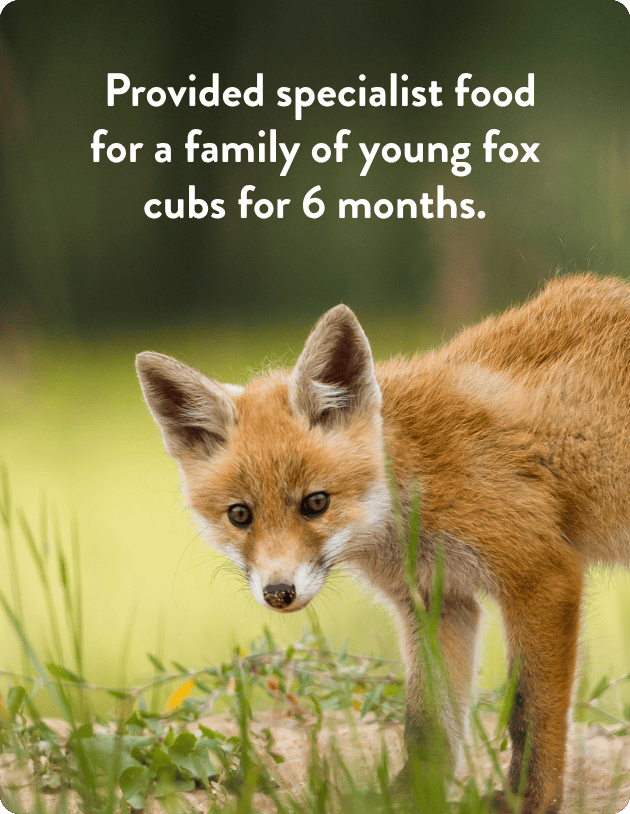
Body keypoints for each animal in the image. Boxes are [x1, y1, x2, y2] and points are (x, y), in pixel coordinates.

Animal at [136, 273, 630, 814]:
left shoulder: (541, 574)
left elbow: (529, 712)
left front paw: (530, 801)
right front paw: (410, 796)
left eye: (316, 503)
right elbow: (427, 722)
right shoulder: (438, 601)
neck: (420, 482)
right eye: (240, 515)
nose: (279, 593)